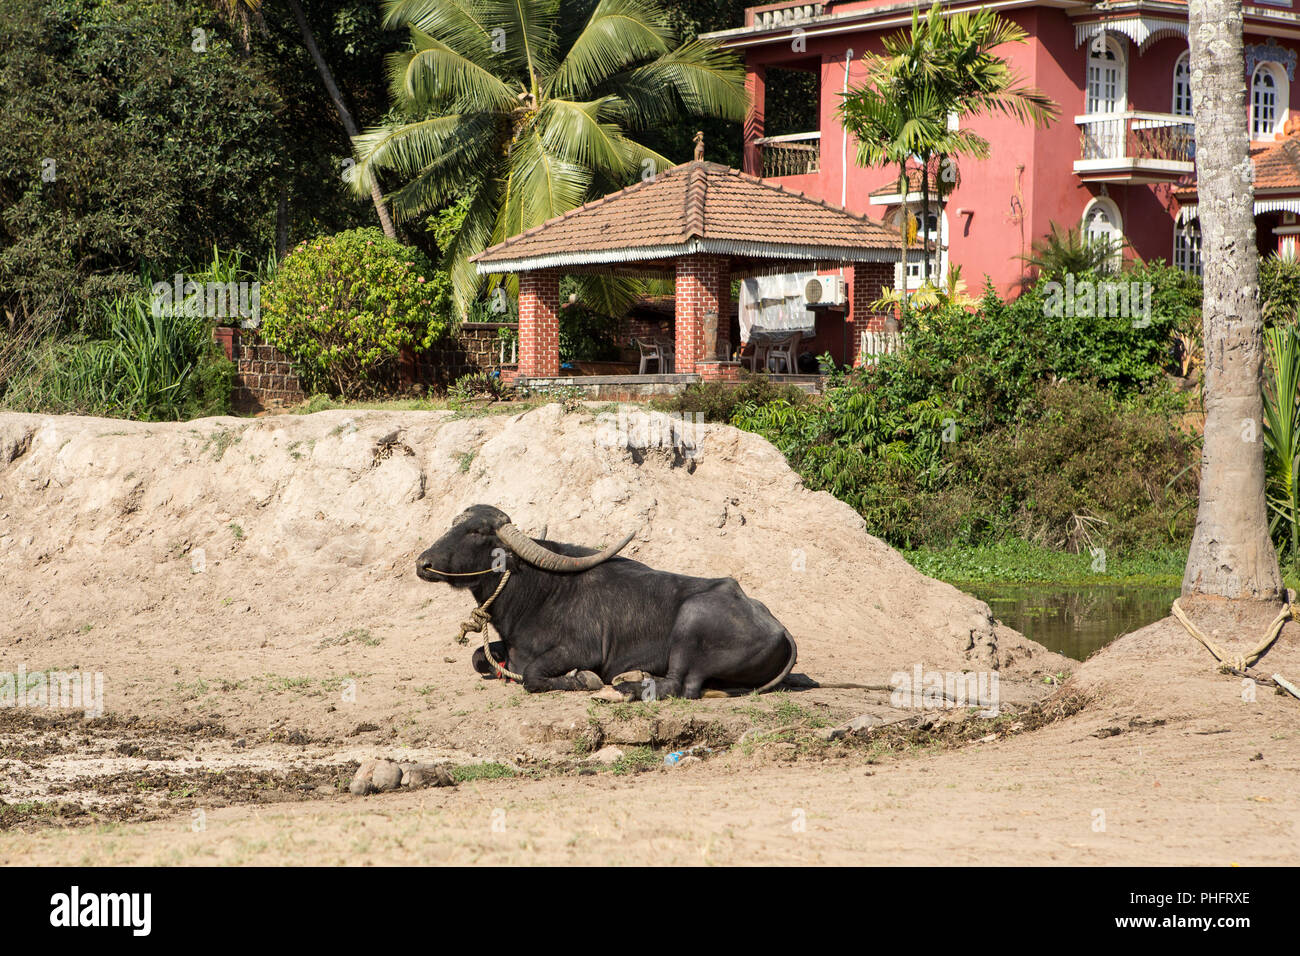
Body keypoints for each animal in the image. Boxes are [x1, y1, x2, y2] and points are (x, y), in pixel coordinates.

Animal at [421, 504, 795, 697]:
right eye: (454, 524)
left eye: (477, 531)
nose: (422, 563)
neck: (540, 590)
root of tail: (779, 628)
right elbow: (478, 658)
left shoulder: (581, 651)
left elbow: (531, 674)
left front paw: (582, 679)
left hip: (692, 620)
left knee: (681, 685)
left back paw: (628, 685)